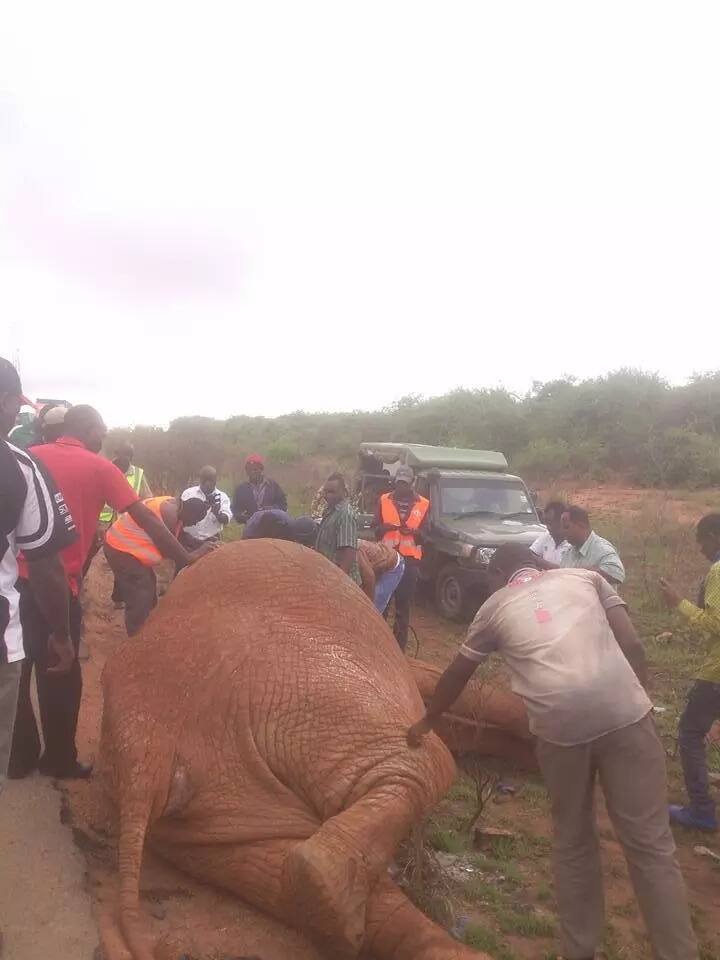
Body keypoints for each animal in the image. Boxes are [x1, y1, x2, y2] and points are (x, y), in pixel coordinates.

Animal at [98, 540, 532, 960]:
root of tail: (143, 747)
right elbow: (441, 689)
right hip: (295, 684)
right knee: (426, 759)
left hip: (211, 802)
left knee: (273, 862)